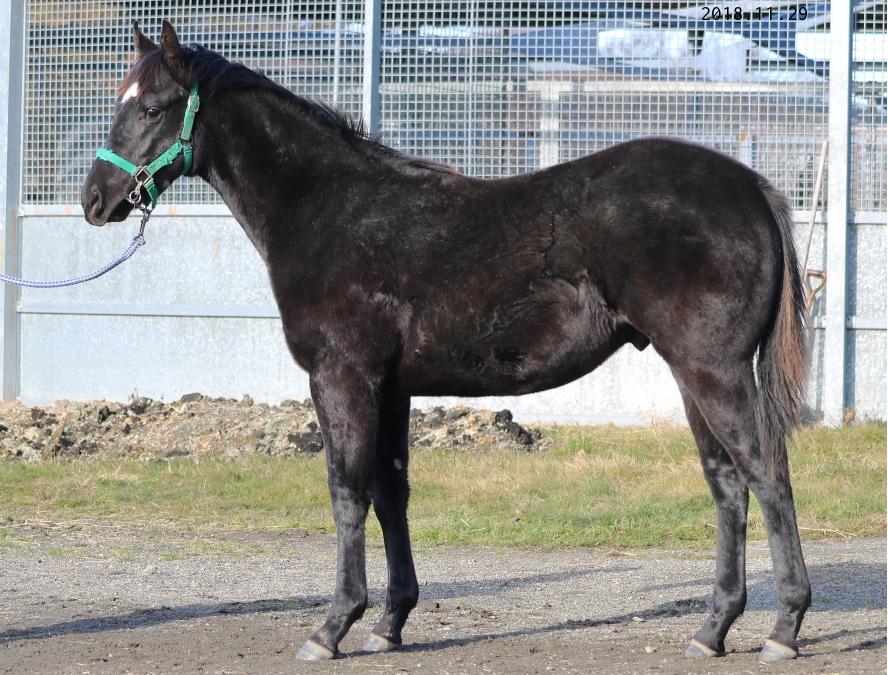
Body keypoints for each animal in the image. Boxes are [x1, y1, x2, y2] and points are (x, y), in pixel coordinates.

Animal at [81, 21, 811, 664]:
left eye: (151, 107)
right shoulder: (392, 387)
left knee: (766, 472)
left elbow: (346, 490)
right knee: (726, 481)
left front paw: (333, 626)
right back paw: (714, 628)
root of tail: (751, 186)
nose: (95, 198)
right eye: (119, 96)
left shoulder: (341, 377)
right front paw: (389, 622)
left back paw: (784, 626)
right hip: (693, 372)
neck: (329, 210)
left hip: (713, 368)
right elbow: (390, 491)